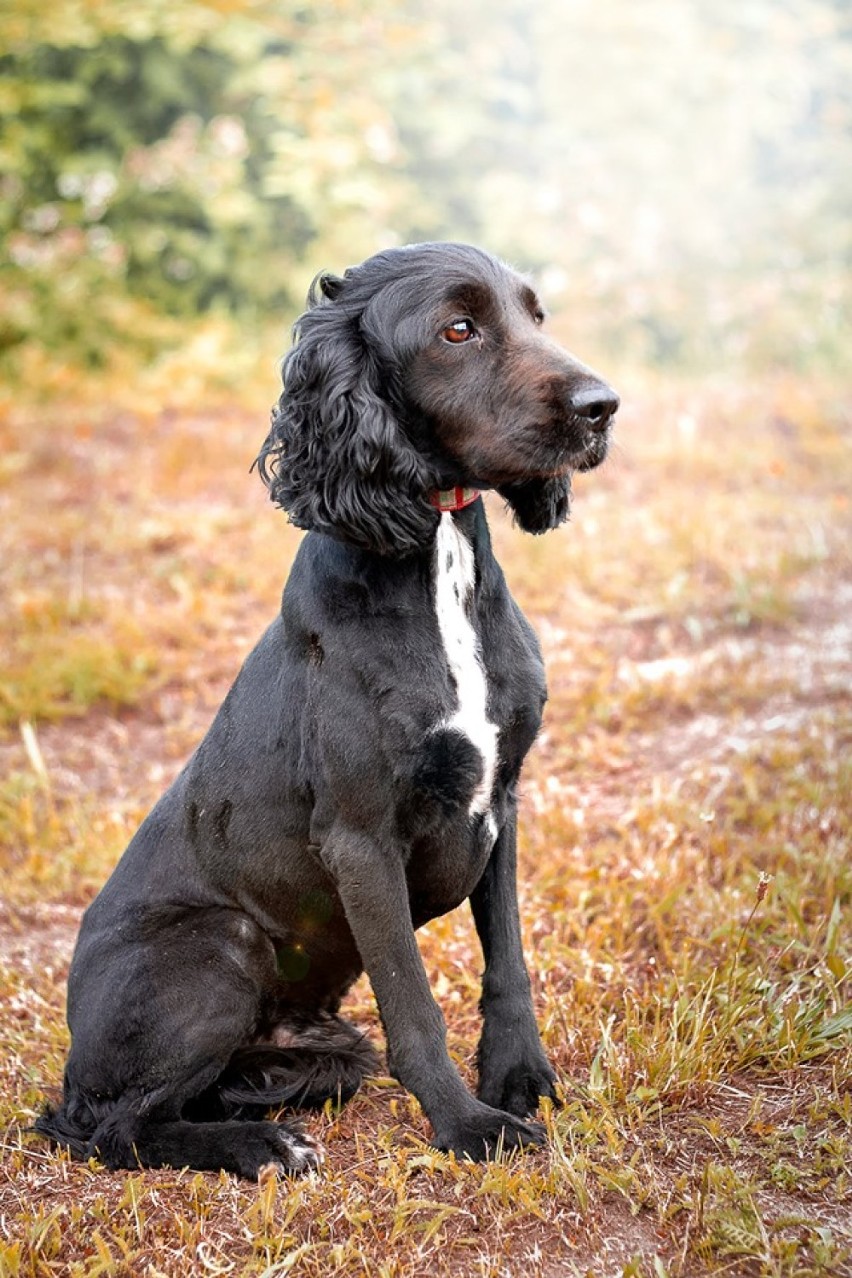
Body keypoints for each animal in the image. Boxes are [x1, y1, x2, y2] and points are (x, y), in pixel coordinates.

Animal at [36, 241, 620, 1175]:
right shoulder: (360, 838)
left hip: (320, 1044)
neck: (438, 568)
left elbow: (509, 966)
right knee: (115, 1130)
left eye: (536, 316)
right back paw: (264, 1143)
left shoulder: (505, 797)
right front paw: (466, 1125)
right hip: (222, 948)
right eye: (458, 329)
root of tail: (70, 1068)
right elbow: (413, 1006)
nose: (603, 407)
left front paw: (519, 1077)